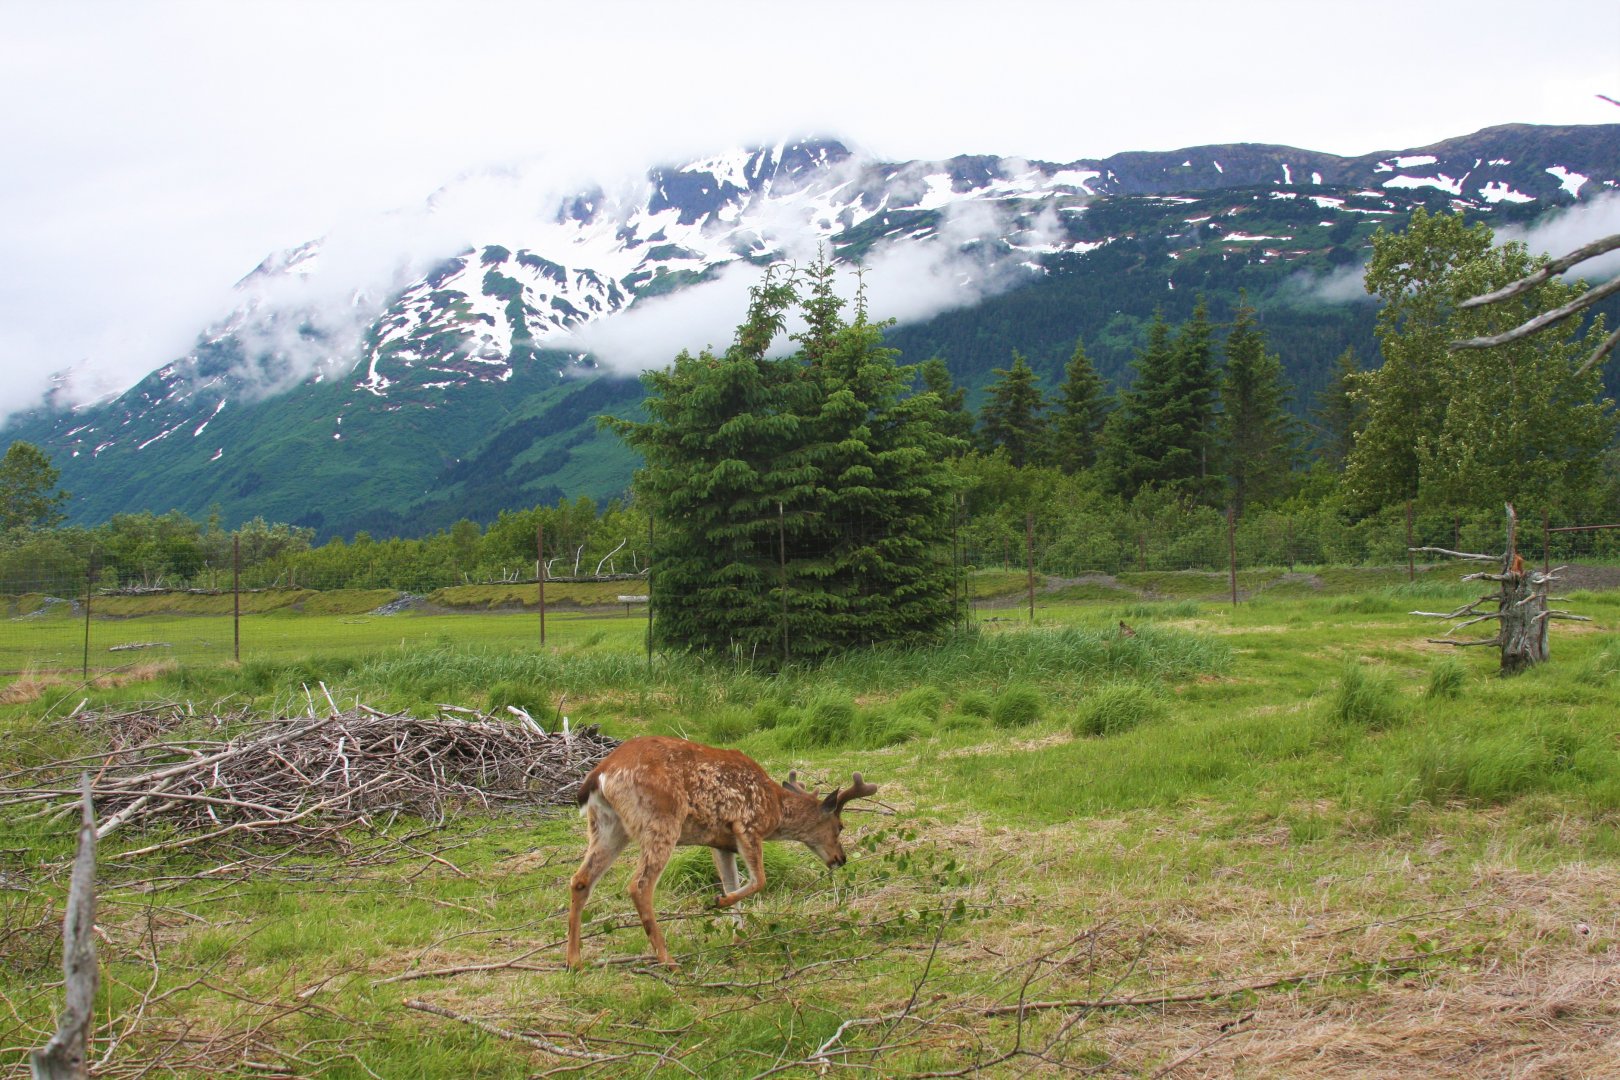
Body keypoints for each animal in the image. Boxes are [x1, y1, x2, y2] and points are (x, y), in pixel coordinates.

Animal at [565, 735, 878, 970]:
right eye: (840, 826)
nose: (841, 859)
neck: (776, 808)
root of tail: (601, 774)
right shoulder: (747, 825)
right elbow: (759, 880)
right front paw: (718, 903)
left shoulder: (720, 843)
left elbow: (733, 882)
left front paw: (738, 937)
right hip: (661, 819)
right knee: (639, 885)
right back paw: (668, 960)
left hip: (607, 826)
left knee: (581, 880)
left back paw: (574, 961)